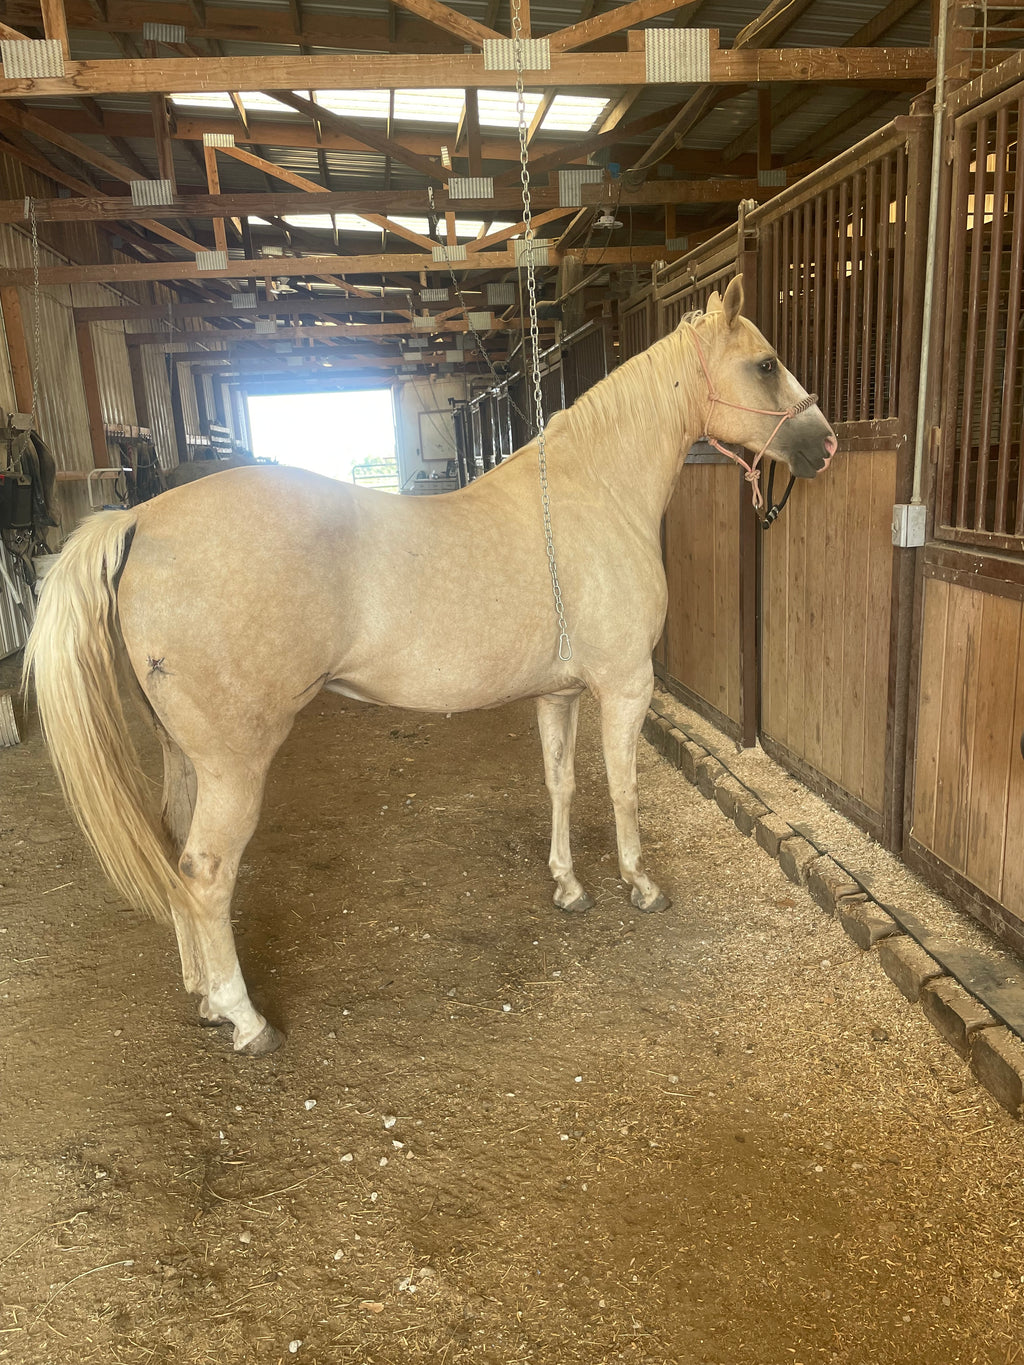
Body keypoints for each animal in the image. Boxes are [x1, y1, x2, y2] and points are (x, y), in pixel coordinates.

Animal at [24, 278, 836, 1057]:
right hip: (234, 763)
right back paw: (246, 1020)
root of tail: (138, 519)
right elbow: (624, 790)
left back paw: (203, 996)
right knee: (205, 872)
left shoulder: (560, 694)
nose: (824, 443)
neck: (594, 497)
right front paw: (640, 885)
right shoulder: (624, 688)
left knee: (174, 850)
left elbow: (562, 785)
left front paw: (569, 886)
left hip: (183, 752)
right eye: (766, 364)